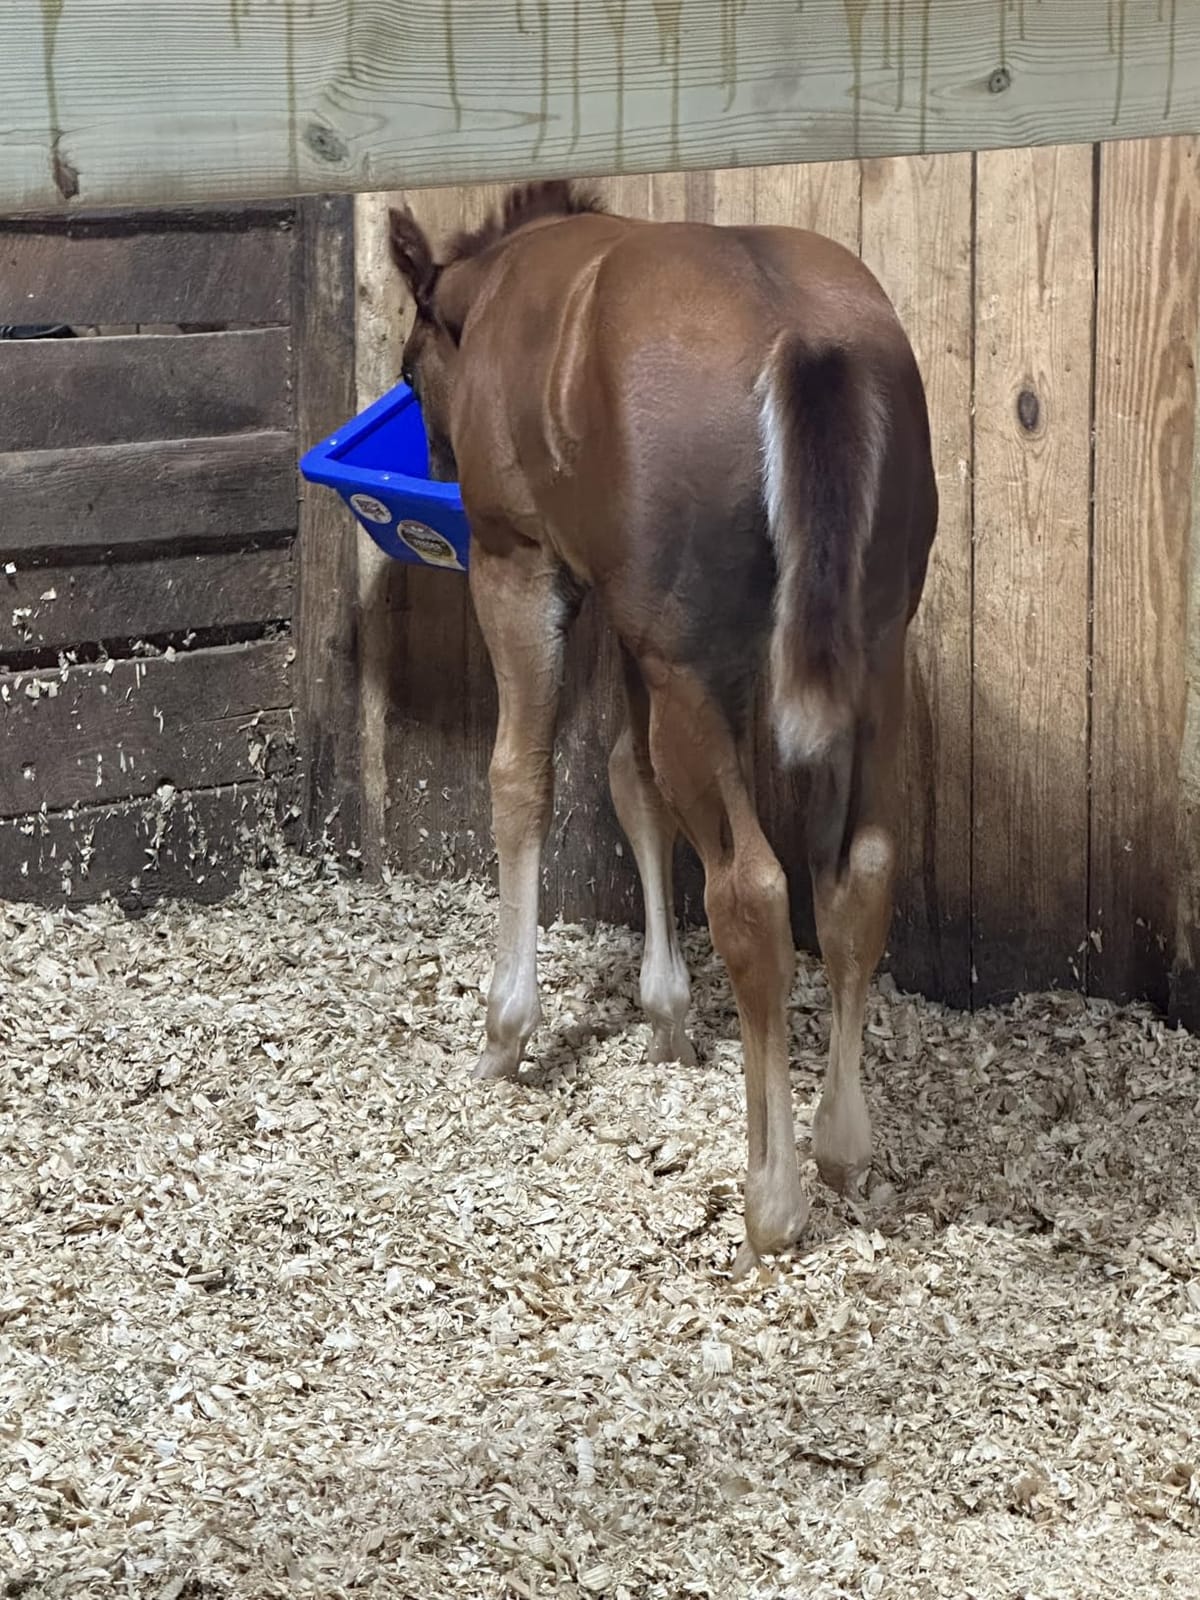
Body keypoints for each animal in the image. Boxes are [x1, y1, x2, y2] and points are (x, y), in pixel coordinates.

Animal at [387, 180, 937, 1277]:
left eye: (410, 368)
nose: (436, 457)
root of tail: (805, 338)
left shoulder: (523, 566)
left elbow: (523, 777)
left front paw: (505, 1027)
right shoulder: (633, 621)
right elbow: (629, 780)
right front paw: (667, 1015)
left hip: (689, 667)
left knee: (754, 891)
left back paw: (771, 1200)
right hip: (870, 656)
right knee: (860, 871)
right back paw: (841, 1145)